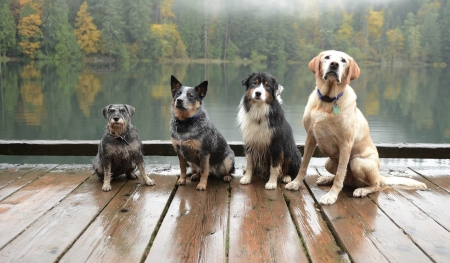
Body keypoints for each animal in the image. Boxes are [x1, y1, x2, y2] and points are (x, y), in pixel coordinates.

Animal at [286, 50, 428, 205]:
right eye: (327, 57)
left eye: (343, 60)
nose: (334, 64)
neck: (327, 101)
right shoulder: (310, 137)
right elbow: (304, 164)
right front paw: (296, 183)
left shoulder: (345, 144)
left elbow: (340, 173)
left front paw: (332, 195)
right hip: (329, 162)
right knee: (345, 179)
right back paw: (327, 178)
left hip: (357, 162)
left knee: (374, 185)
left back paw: (362, 190)